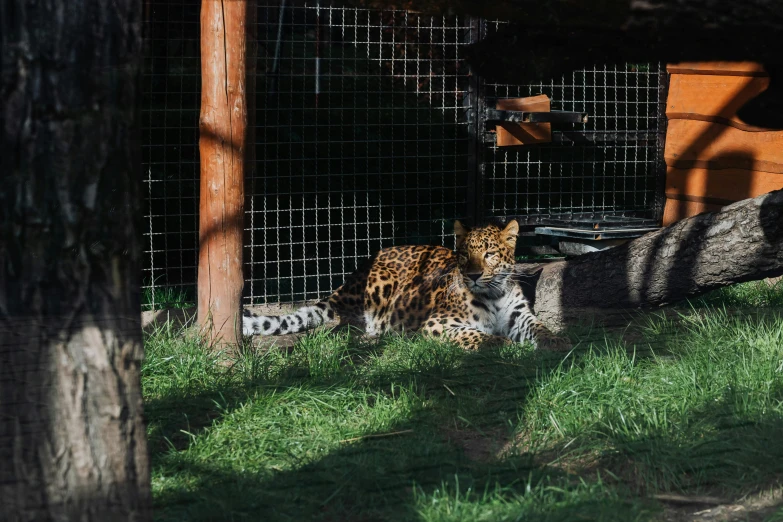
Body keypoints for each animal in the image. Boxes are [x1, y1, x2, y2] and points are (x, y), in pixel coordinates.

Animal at [245, 219, 576, 350]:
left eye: (489, 254)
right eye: (464, 254)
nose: (473, 275)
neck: (493, 293)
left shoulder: (520, 316)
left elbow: (540, 329)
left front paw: (558, 342)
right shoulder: (439, 324)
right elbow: (478, 337)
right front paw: (503, 346)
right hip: (381, 283)